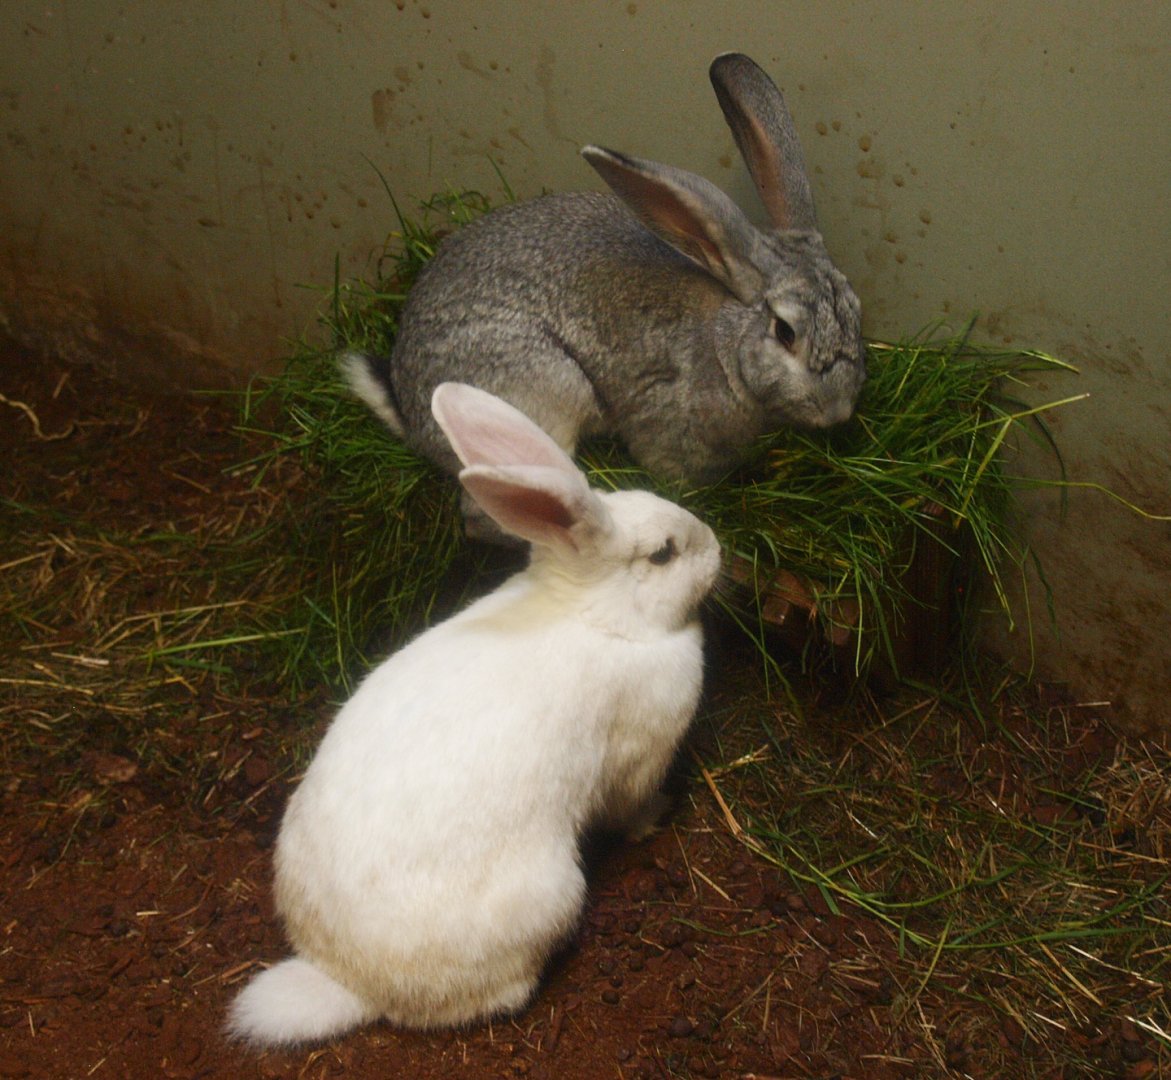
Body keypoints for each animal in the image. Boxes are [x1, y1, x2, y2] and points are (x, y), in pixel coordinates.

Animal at [226, 381, 722, 1046]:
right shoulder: (636, 760)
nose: (717, 545)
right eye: (664, 555)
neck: (599, 617)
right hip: (552, 895)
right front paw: (658, 816)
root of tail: (346, 979)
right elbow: (630, 806)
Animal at [342, 52, 865, 513]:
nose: (839, 411)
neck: (727, 344)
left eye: (856, 311)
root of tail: (411, 413)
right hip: (542, 393)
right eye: (785, 332)